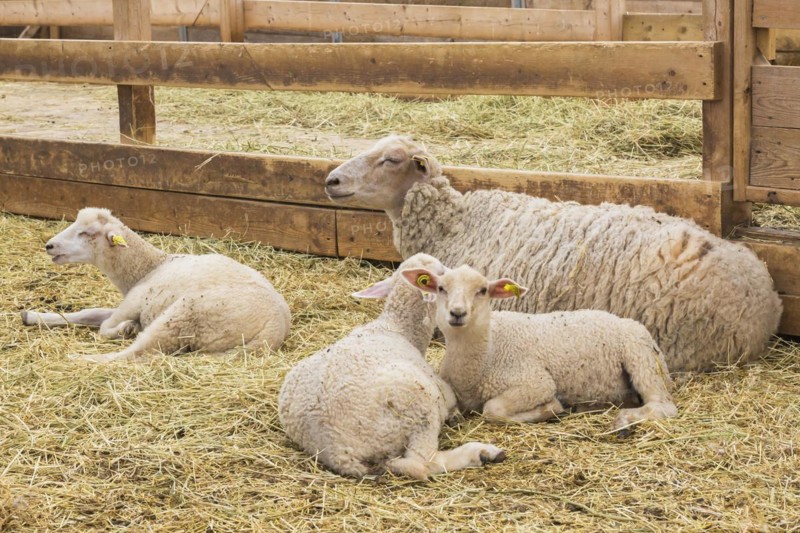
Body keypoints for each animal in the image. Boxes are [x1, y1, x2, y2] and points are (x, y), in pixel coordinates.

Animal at [21, 207, 291, 363]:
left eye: (87, 233)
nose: (49, 245)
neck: (150, 266)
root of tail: (274, 330)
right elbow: (89, 313)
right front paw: (32, 316)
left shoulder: (135, 300)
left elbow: (104, 326)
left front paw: (125, 329)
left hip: (184, 315)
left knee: (138, 352)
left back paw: (79, 357)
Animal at [278, 253, 505, 480]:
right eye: (442, 275)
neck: (397, 327)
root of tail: (338, 448)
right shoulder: (442, 391)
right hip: (419, 406)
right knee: (421, 462)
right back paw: (483, 452)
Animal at [401, 264, 678, 431]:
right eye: (440, 288)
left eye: (482, 290)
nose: (457, 313)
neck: (486, 352)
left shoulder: (535, 382)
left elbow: (493, 409)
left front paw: (549, 409)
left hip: (641, 359)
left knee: (663, 405)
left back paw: (623, 420)